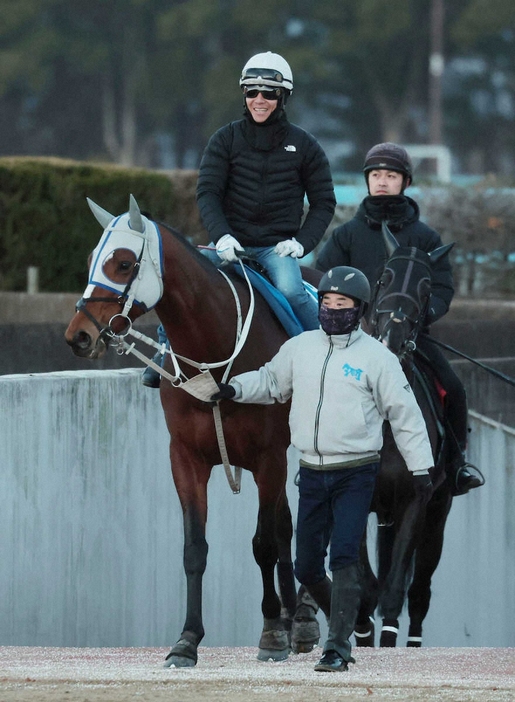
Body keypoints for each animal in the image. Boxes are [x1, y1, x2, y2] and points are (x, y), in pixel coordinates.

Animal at [64, 195, 302, 668]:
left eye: (123, 263)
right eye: (92, 258)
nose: (78, 335)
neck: (216, 349)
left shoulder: (269, 457)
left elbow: (264, 543)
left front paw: (270, 633)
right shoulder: (186, 458)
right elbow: (195, 549)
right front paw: (187, 639)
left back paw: (293, 621)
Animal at [352, 224, 458, 648]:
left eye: (427, 289)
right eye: (384, 278)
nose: (392, 338)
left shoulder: (417, 499)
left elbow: (396, 588)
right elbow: (366, 587)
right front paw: (361, 635)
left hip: (437, 514)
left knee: (420, 590)